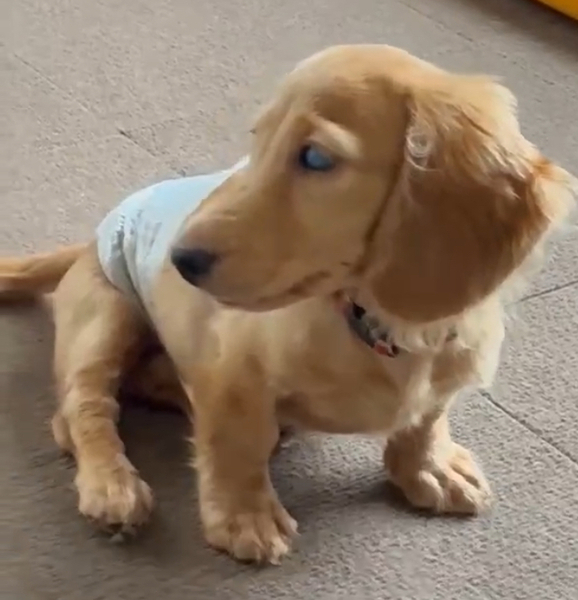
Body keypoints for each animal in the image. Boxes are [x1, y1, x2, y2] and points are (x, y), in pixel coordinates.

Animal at [1, 44, 575, 564]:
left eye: (316, 158)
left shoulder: (446, 371)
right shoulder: (231, 368)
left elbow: (426, 417)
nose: (179, 259)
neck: (371, 322)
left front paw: (427, 466)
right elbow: (239, 440)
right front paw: (244, 516)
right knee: (84, 407)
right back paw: (112, 486)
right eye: (257, 143)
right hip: (105, 313)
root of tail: (88, 240)